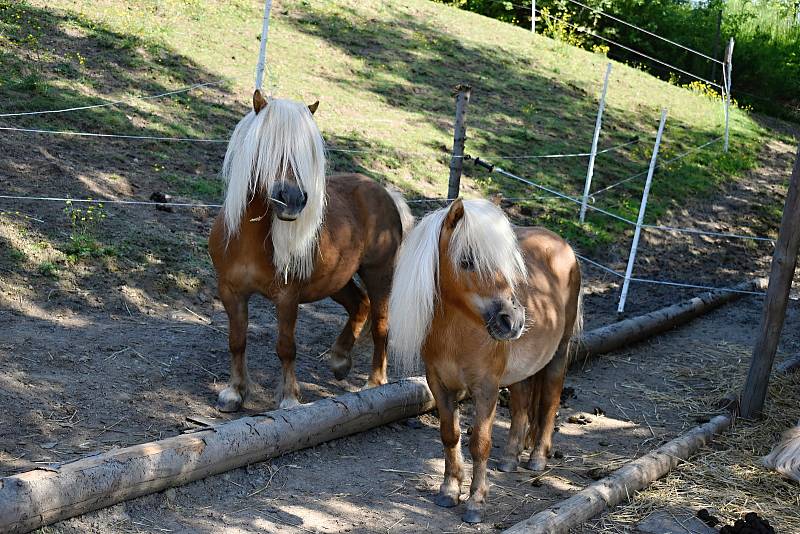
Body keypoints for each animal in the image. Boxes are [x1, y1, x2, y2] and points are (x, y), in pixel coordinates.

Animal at [208, 90, 412, 412]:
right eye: (267, 145)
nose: (292, 199)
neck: (248, 239)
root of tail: (385, 193)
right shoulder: (231, 291)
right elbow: (237, 341)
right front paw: (234, 392)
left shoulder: (287, 297)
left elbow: (286, 347)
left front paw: (290, 398)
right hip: (336, 281)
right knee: (360, 305)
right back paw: (340, 359)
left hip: (380, 275)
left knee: (381, 324)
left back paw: (374, 382)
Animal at [390, 199, 580, 524]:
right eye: (467, 261)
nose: (513, 320)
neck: (457, 331)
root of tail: (561, 243)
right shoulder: (439, 384)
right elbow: (450, 435)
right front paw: (449, 490)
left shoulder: (486, 388)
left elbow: (480, 443)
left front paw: (476, 502)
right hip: (521, 372)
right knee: (521, 406)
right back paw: (510, 459)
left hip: (559, 354)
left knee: (549, 402)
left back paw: (537, 458)